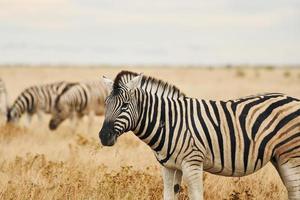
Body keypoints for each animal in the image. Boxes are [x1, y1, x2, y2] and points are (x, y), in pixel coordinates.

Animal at [99, 70, 300, 200]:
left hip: (291, 156)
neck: (169, 122)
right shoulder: (169, 167)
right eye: (106, 103)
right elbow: (169, 196)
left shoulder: (192, 163)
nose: (103, 136)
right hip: (279, 158)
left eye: (125, 105)